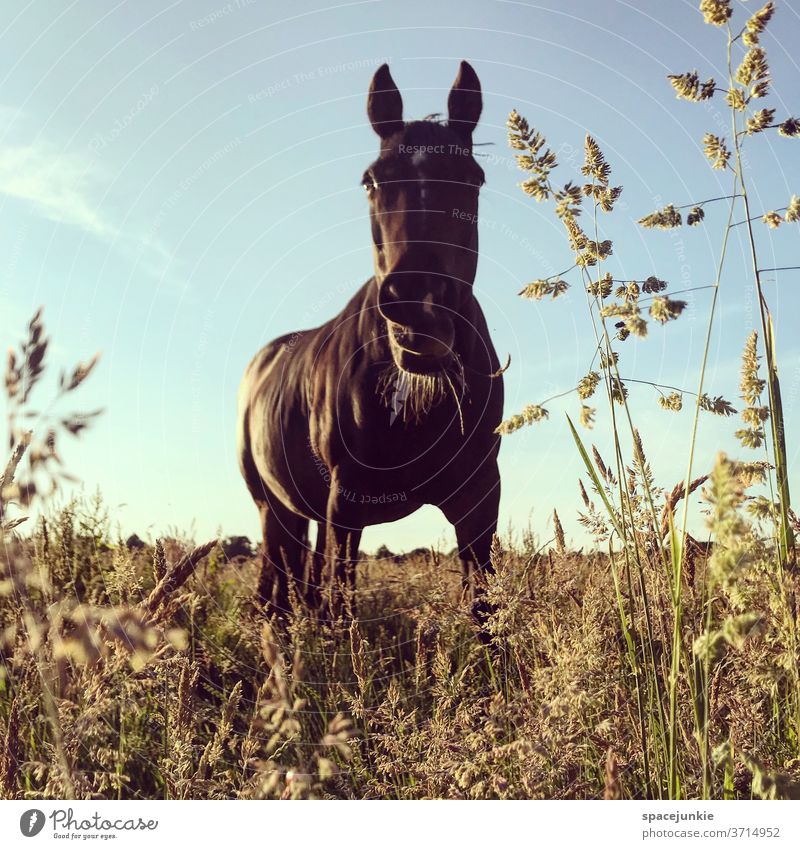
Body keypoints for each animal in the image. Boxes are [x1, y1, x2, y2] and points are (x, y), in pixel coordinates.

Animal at [234, 59, 504, 624]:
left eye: (472, 180)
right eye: (370, 182)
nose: (419, 306)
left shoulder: (479, 500)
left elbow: (486, 612)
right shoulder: (347, 503)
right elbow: (341, 606)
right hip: (272, 507)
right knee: (275, 586)